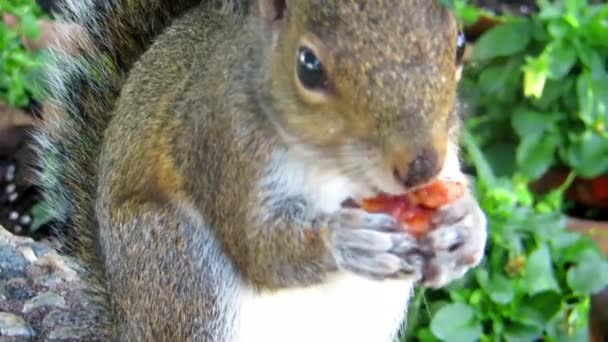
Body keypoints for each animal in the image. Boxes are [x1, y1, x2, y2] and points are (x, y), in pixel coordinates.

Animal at [34, 0, 490, 340]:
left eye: (459, 43)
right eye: (308, 66)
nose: (420, 166)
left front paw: (466, 225)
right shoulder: (222, 144)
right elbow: (257, 248)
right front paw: (346, 239)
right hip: (178, 267)